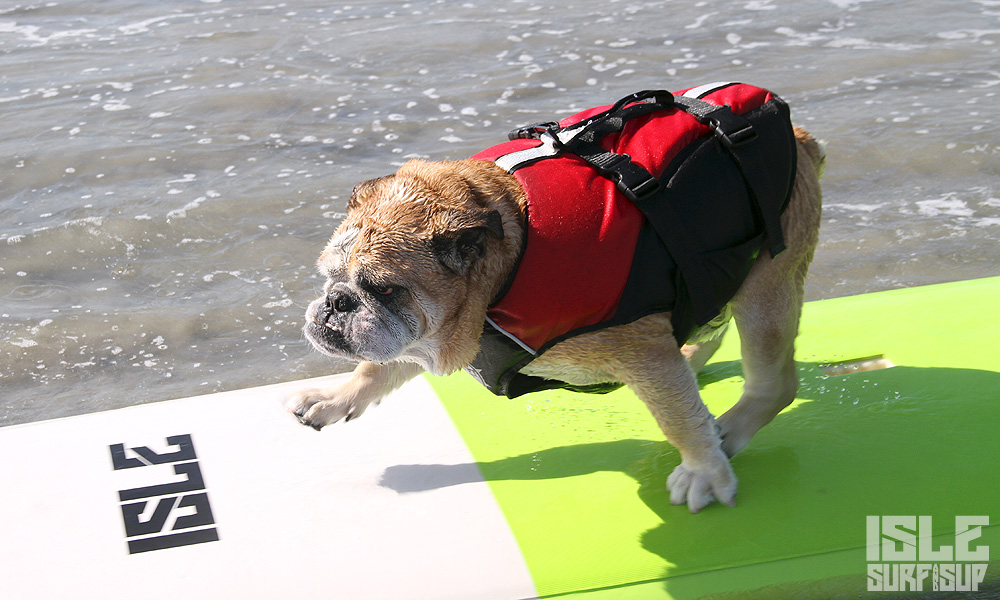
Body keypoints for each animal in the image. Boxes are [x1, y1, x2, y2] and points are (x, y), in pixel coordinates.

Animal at [288, 85, 820, 516]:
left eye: (384, 289)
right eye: (329, 277)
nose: (336, 302)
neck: (503, 275)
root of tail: (797, 132)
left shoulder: (639, 352)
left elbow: (677, 420)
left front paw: (704, 470)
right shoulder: (423, 337)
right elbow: (375, 368)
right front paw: (333, 396)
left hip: (766, 281)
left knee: (773, 381)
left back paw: (726, 430)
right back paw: (691, 357)